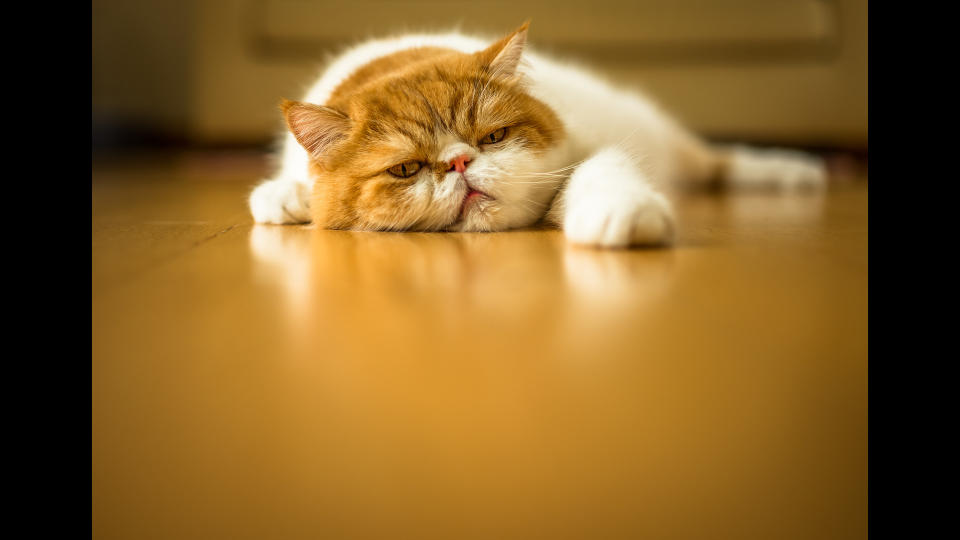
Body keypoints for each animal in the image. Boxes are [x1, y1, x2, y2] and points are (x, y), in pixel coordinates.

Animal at [248, 21, 824, 247]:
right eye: (406, 168)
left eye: (494, 137)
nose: (459, 161)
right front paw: (288, 197)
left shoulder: (595, 150)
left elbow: (601, 172)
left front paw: (619, 215)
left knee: (717, 161)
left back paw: (795, 172)